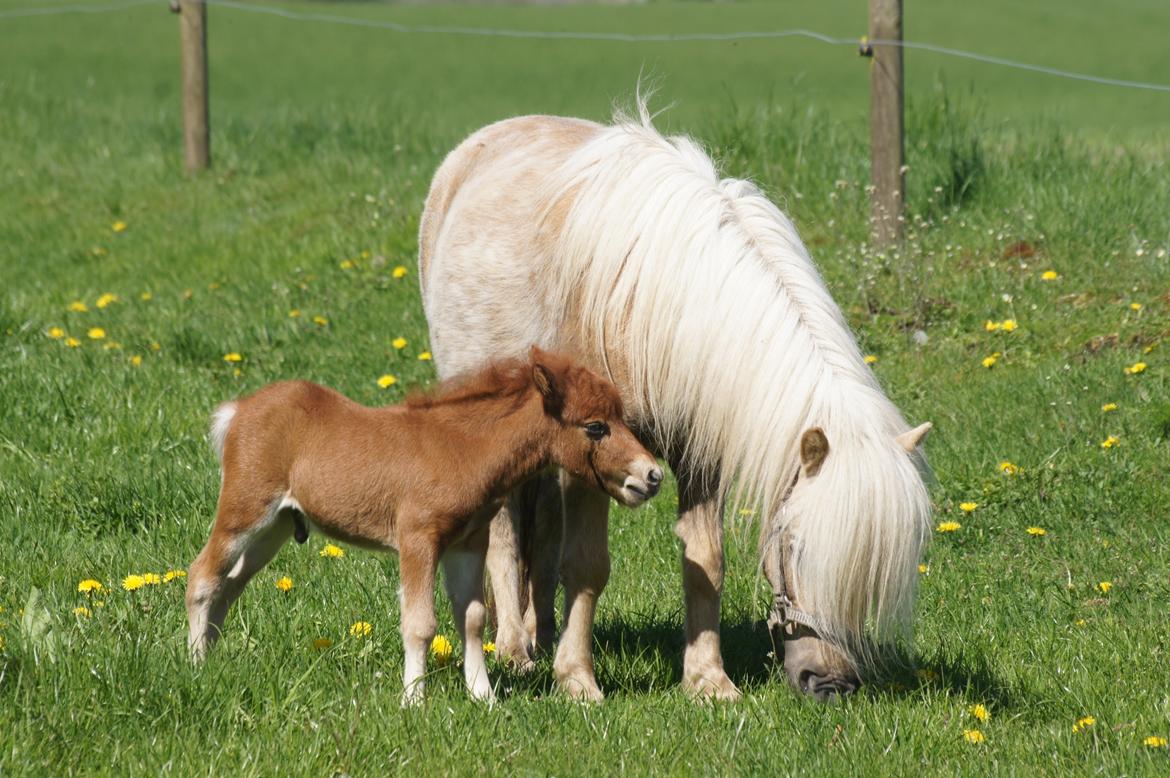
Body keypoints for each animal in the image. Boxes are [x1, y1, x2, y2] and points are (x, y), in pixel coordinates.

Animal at [182, 348, 659, 701]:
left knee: (232, 582)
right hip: (246, 509)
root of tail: (237, 410)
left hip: (278, 526)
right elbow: (420, 623)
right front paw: (413, 699)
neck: (463, 448)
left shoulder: (468, 543)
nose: (651, 476)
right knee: (203, 574)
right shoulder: (418, 539)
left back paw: (213, 656)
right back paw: (196, 665)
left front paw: (483, 696)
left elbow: (473, 617)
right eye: (595, 427)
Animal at [418, 104, 931, 701]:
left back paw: (539, 636)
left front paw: (708, 680)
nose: (829, 683)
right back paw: (516, 651)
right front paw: (578, 681)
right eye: (797, 547)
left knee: (539, 536)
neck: (657, 310)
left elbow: (705, 562)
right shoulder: (593, 461)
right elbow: (587, 566)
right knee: (503, 537)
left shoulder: (700, 454)